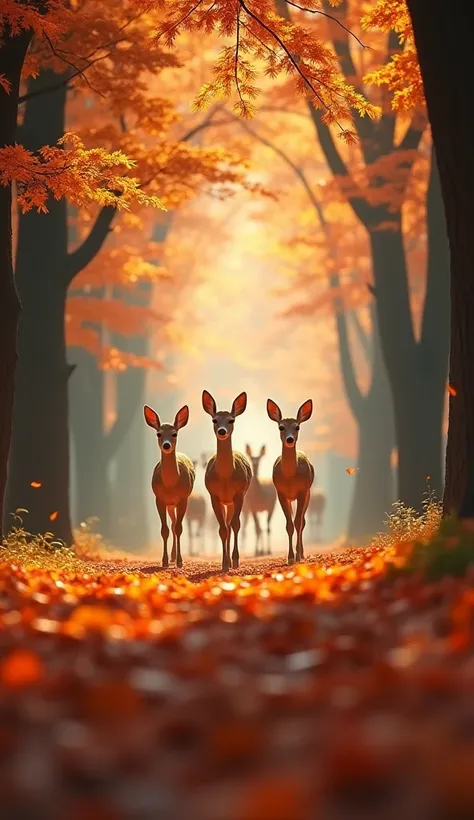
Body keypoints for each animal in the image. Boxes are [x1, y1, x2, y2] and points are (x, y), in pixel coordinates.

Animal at [143, 404, 194, 572]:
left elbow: (179, 528)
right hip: (170, 505)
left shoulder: (183, 498)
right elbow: (164, 530)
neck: (171, 486)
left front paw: (180, 561)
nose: (166, 445)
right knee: (172, 524)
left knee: (176, 525)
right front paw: (164, 561)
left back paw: (175, 557)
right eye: (158, 433)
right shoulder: (159, 499)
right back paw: (171, 556)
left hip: (177, 503)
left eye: (174, 433)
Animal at [201, 390, 252, 572]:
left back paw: (233, 560)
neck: (225, 479)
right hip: (226, 502)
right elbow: (222, 529)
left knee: (231, 525)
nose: (222, 431)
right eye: (214, 420)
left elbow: (236, 524)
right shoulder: (214, 496)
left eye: (231, 420)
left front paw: (235, 560)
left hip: (232, 501)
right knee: (227, 526)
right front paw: (224, 564)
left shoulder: (239, 494)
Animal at [266, 398, 314, 564]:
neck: (290, 478)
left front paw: (297, 556)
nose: (290, 439)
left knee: (303, 522)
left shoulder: (302, 491)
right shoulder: (280, 493)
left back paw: (303, 553)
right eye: (281, 427)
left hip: (308, 494)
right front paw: (290, 557)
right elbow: (289, 525)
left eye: (297, 426)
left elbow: (298, 523)